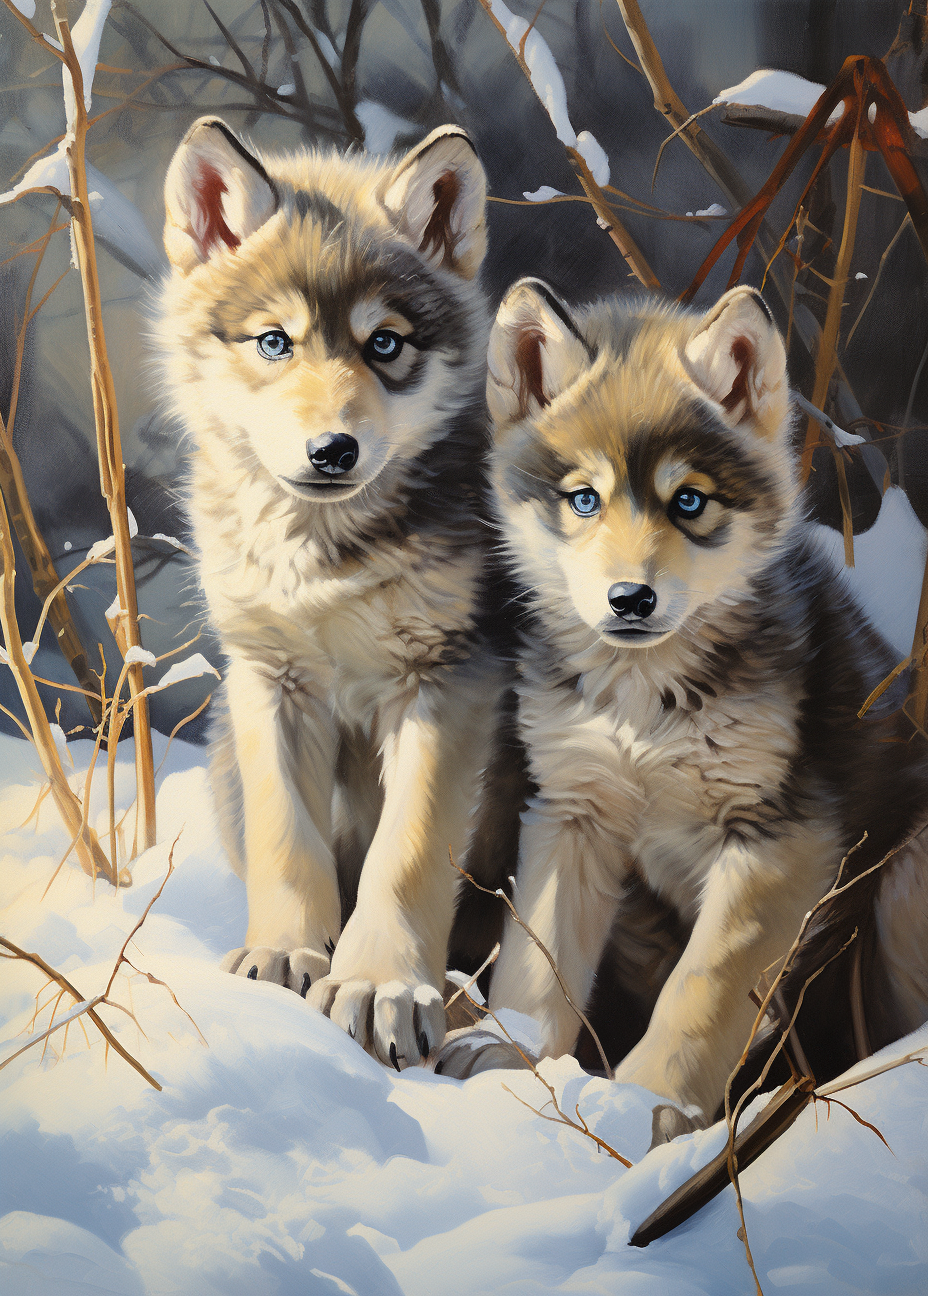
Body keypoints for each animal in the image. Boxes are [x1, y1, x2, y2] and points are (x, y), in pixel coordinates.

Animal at [157, 116, 506, 1069]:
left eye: (385, 344)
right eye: (275, 342)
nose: (332, 451)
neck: (322, 561)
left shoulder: (446, 683)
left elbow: (407, 855)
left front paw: (380, 988)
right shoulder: (269, 680)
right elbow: (290, 842)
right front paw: (284, 960)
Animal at [465, 278, 928, 1121]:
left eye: (689, 502)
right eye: (584, 499)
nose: (630, 600)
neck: (646, 705)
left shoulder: (782, 838)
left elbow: (702, 991)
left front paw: (645, 1108)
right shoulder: (571, 812)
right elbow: (537, 963)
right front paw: (505, 1074)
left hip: (905, 887)